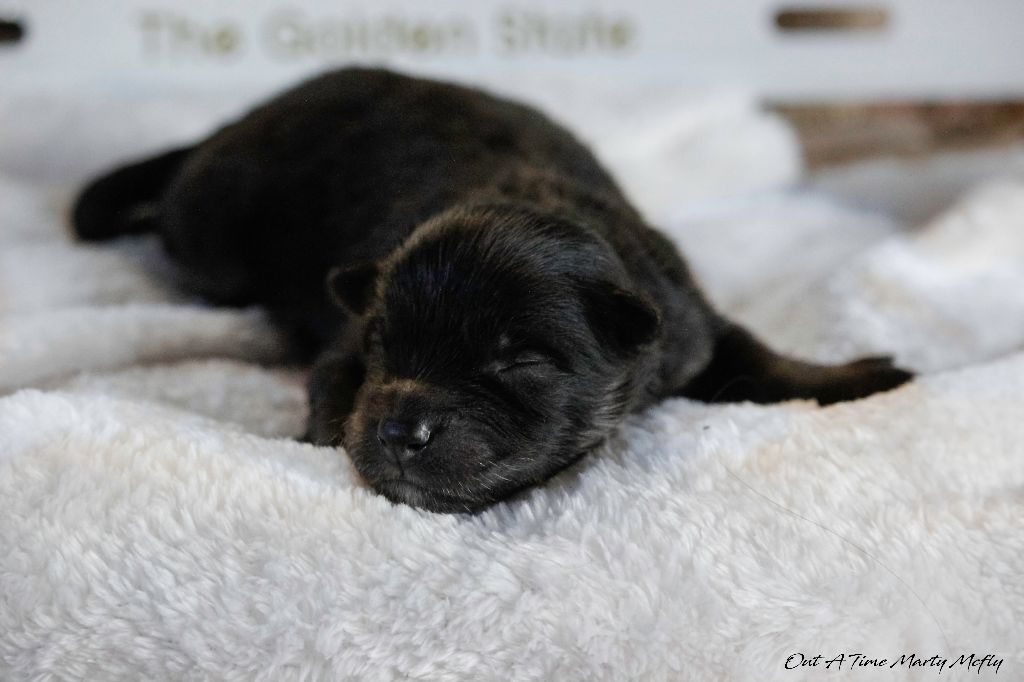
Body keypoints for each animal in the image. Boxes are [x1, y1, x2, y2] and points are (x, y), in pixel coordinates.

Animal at [73, 68, 912, 513]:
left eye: (521, 361)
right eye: (384, 344)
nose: (400, 431)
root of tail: (228, 130)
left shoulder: (688, 321)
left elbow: (760, 357)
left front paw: (857, 377)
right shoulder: (347, 340)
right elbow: (333, 386)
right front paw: (325, 435)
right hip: (211, 229)